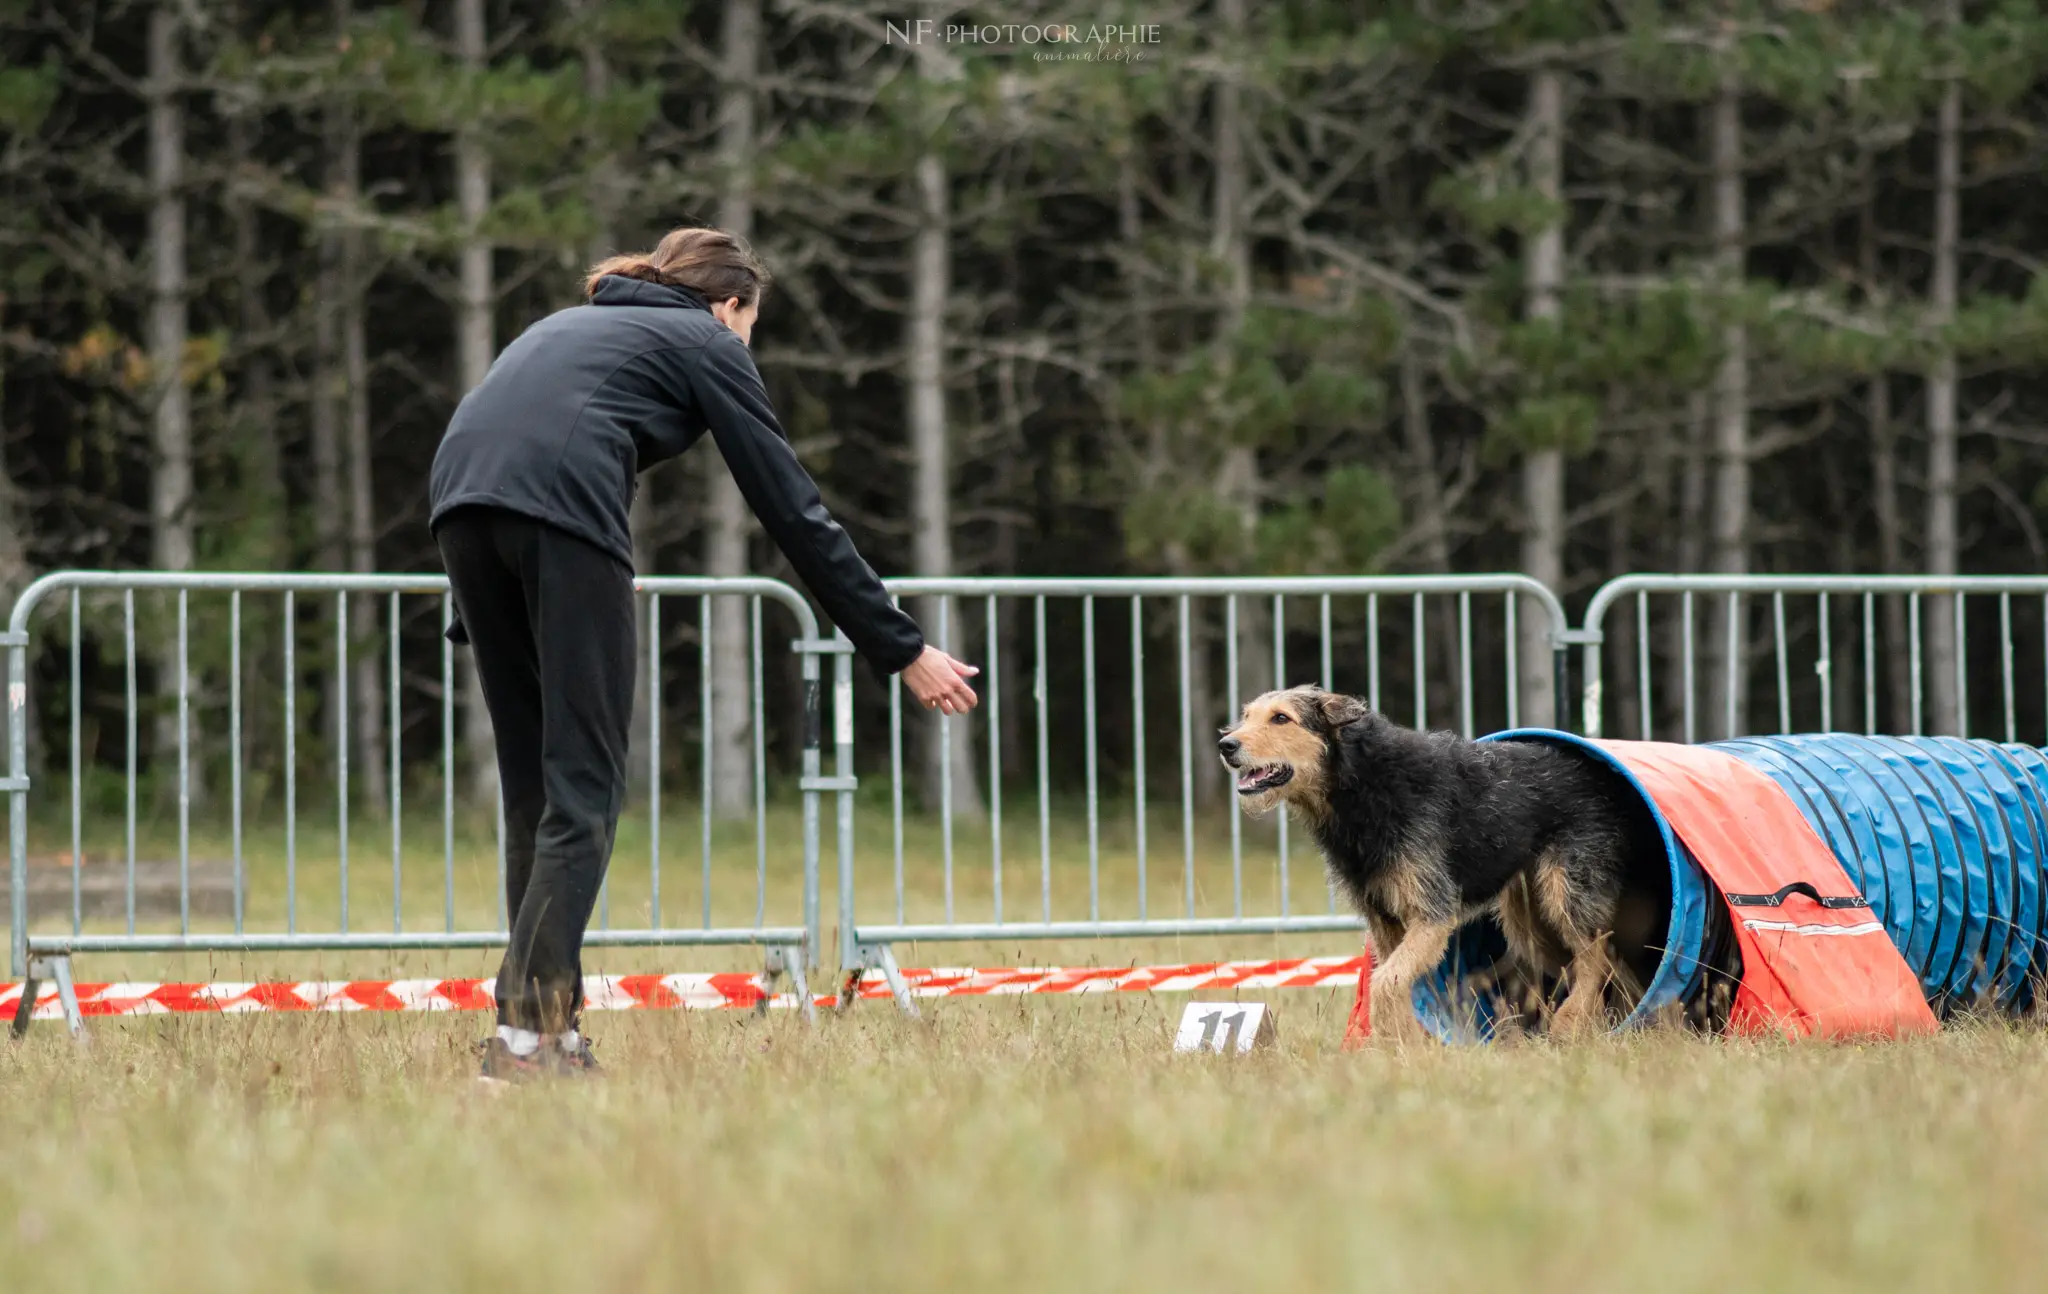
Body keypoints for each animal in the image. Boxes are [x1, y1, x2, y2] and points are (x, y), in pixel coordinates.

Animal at [1212, 687, 1662, 1040]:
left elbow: (1386, 983)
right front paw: (1405, 1048)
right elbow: (1395, 985)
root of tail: (1602, 779)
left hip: (1566, 892)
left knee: (1596, 955)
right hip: (1531, 924)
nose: (1226, 745)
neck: (1360, 784)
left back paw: (1571, 1023)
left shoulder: (1432, 913)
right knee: (1598, 962)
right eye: (1246, 716)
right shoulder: (1385, 922)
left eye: (1281, 718)